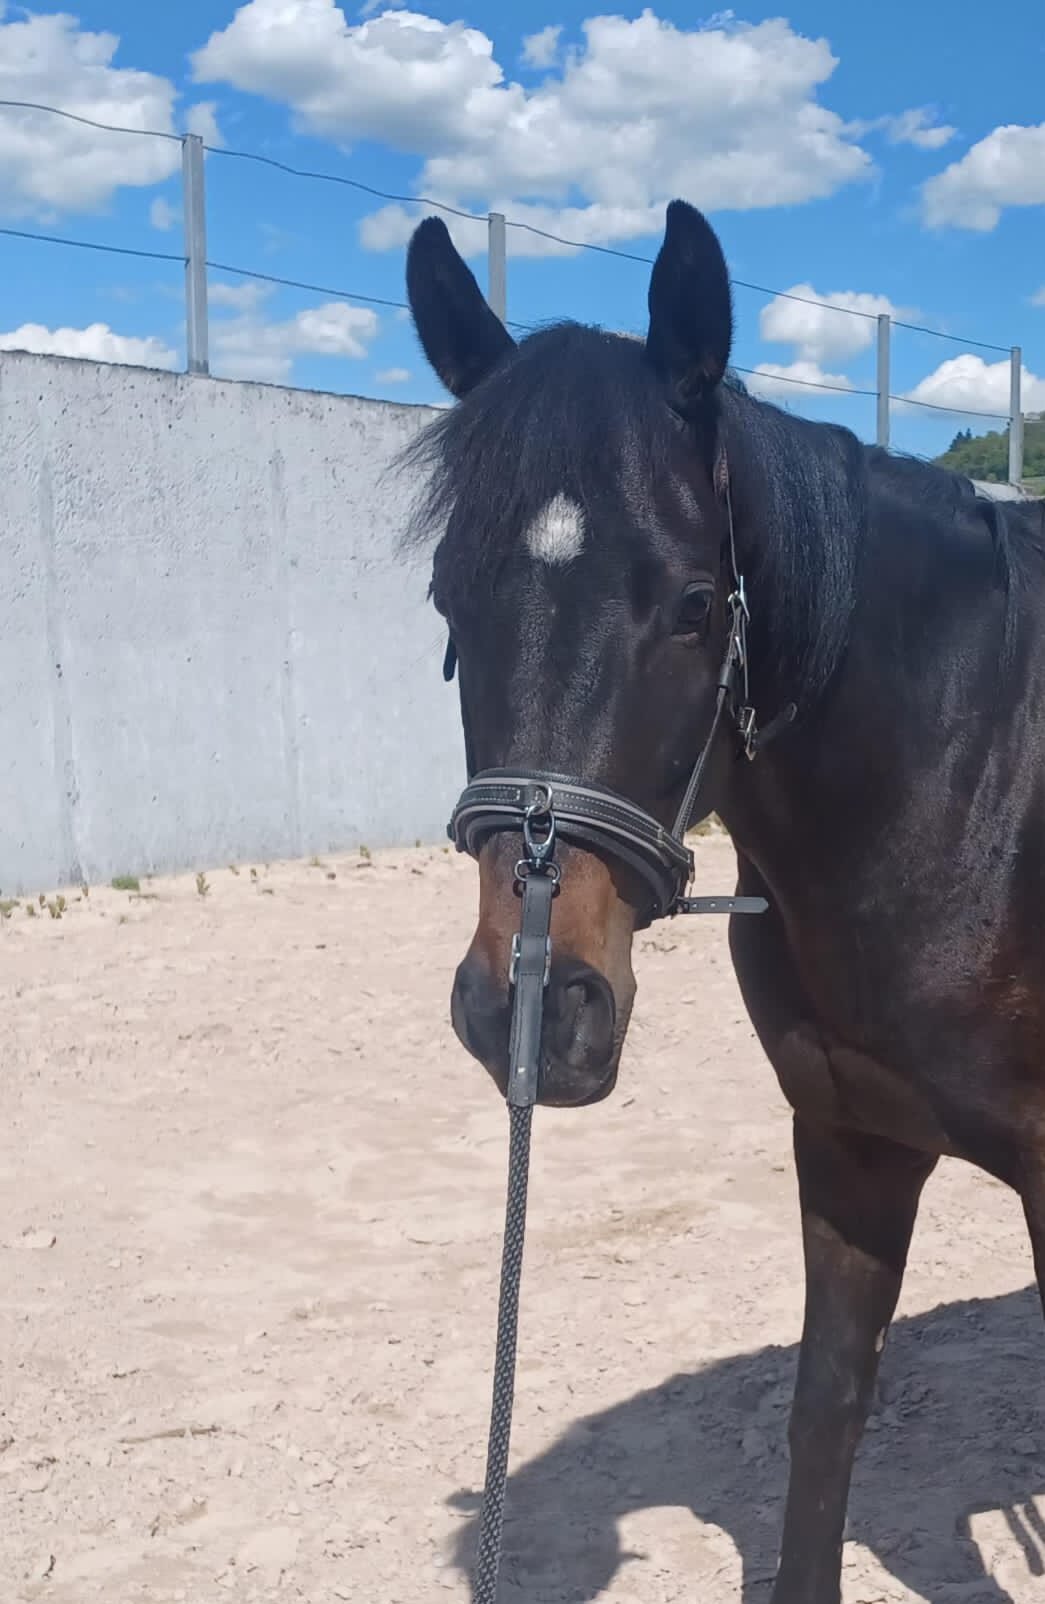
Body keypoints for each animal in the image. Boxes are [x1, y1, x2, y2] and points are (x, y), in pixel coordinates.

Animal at [400, 197, 1045, 1602]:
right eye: (448, 595)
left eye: (695, 603)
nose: (533, 1006)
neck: (979, 793)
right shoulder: (849, 1140)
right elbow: (825, 1418)